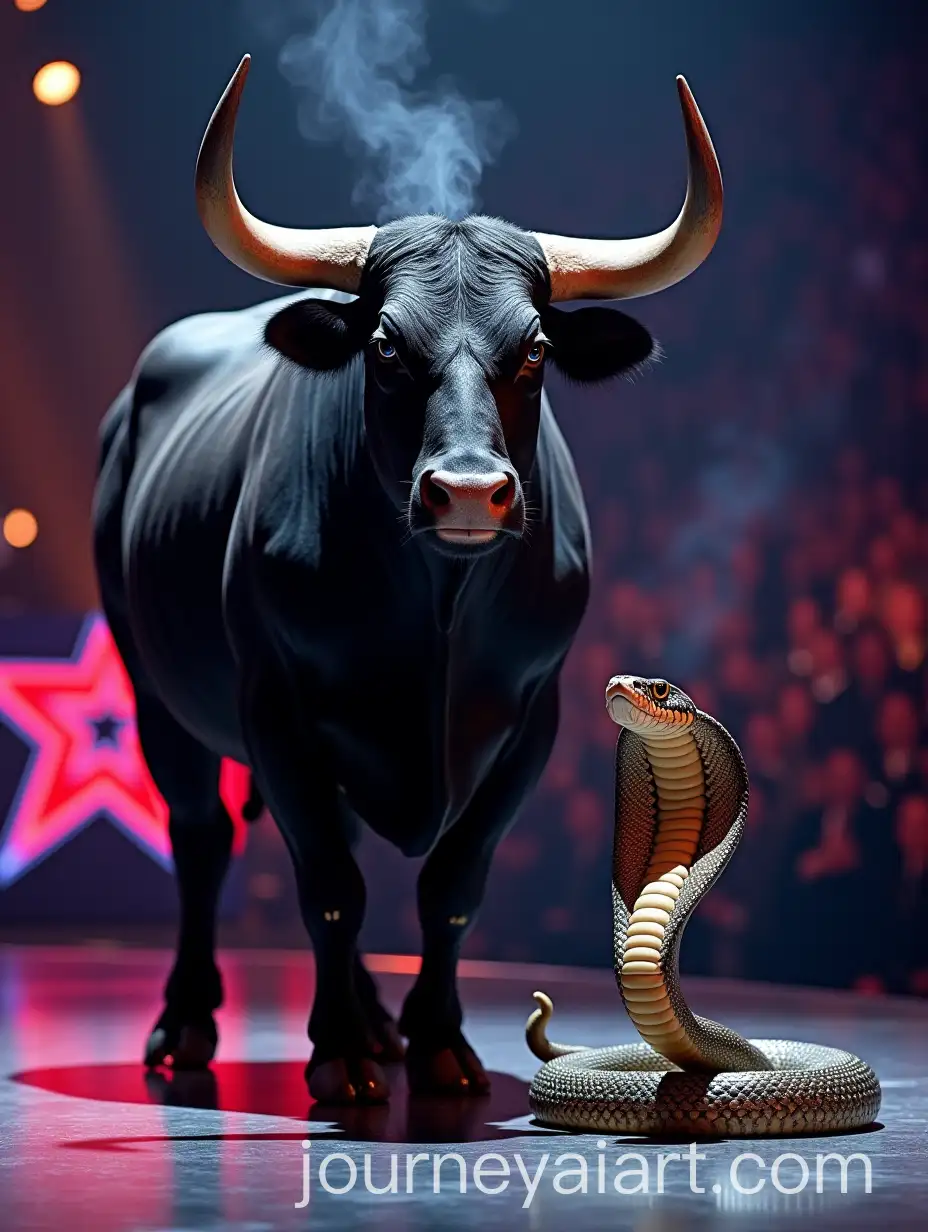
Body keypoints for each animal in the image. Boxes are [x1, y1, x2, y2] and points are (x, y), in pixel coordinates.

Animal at [93, 56, 722, 1104]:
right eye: (386, 345)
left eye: (535, 349)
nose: (467, 491)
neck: (435, 609)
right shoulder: (276, 707)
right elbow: (329, 888)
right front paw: (341, 1051)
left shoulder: (535, 716)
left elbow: (452, 884)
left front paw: (434, 1040)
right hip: (153, 691)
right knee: (203, 838)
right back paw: (186, 1023)